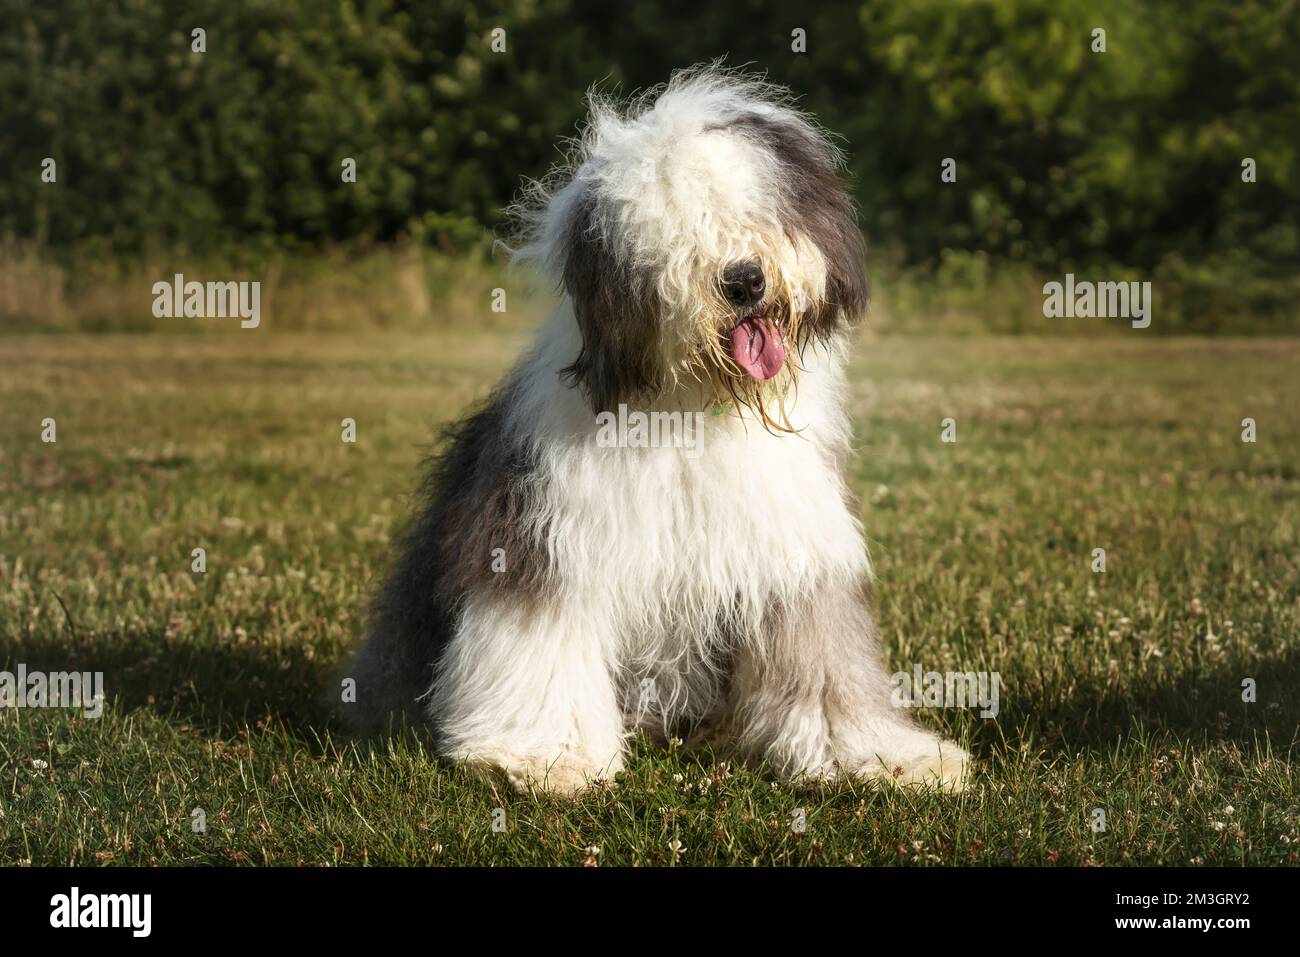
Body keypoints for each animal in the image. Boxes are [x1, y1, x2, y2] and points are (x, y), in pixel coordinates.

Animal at [351, 67, 972, 795]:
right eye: (673, 233)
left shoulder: (792, 548)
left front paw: (882, 757)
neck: (695, 408)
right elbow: (539, 638)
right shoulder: (543, 535)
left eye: (754, 205)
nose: (744, 279)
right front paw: (547, 757)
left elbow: (821, 661)